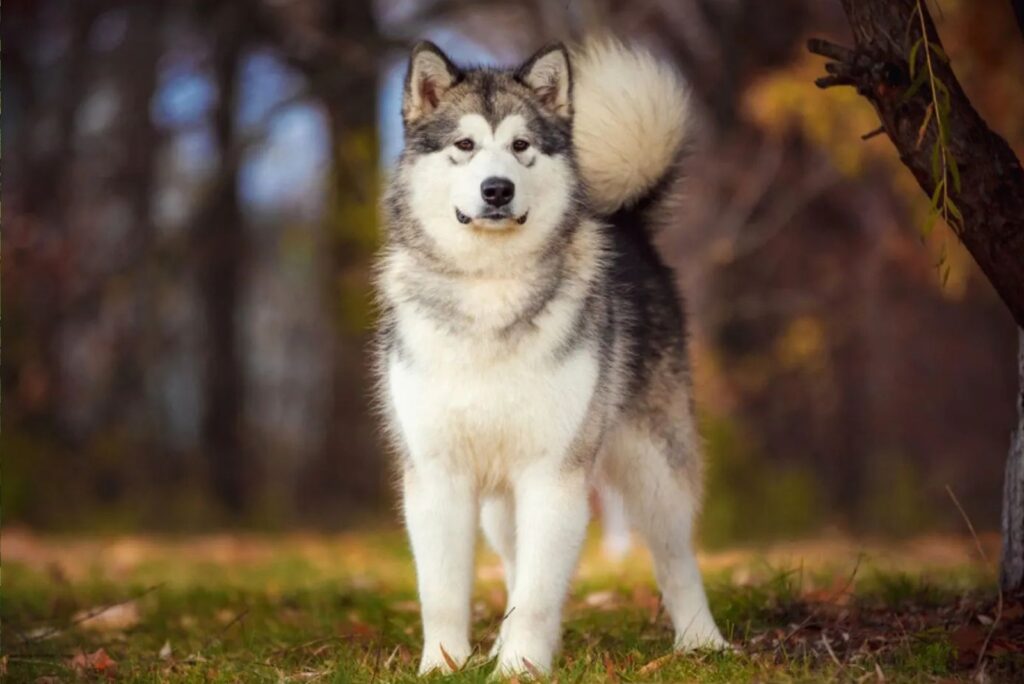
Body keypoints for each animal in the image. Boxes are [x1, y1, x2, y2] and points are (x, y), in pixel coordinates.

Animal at [372, 36, 724, 671]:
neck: (490, 289)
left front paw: (519, 670)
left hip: (653, 464)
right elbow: (443, 591)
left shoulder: (554, 474)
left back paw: (703, 641)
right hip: (500, 501)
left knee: (675, 557)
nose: (497, 189)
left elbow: (539, 593)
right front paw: (445, 665)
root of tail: (626, 221)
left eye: (521, 146)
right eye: (464, 144)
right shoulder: (437, 474)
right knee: (515, 561)